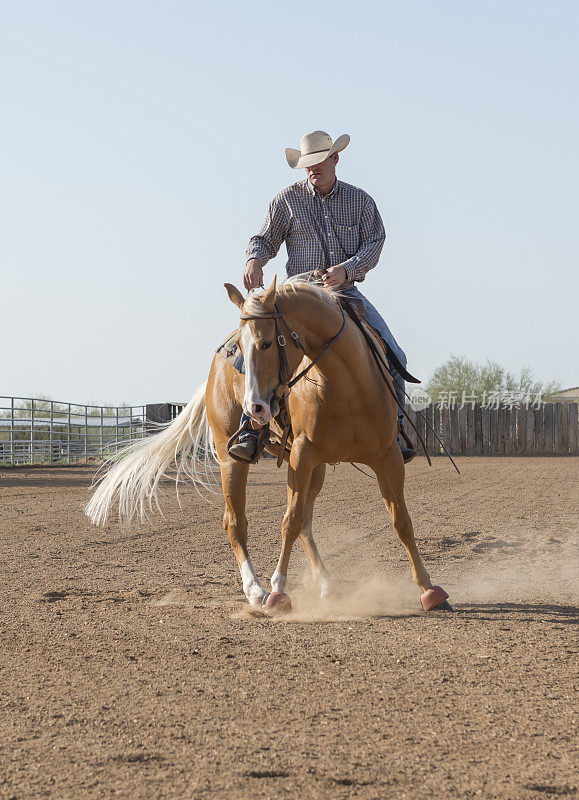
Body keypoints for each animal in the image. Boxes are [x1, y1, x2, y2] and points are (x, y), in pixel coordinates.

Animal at [86, 276, 450, 612]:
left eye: (264, 344)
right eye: (240, 348)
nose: (255, 408)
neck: (345, 385)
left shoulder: (386, 456)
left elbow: (401, 520)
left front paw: (429, 589)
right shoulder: (302, 454)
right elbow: (288, 522)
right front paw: (277, 591)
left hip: (315, 468)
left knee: (306, 521)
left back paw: (325, 585)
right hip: (232, 459)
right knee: (236, 522)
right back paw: (256, 591)